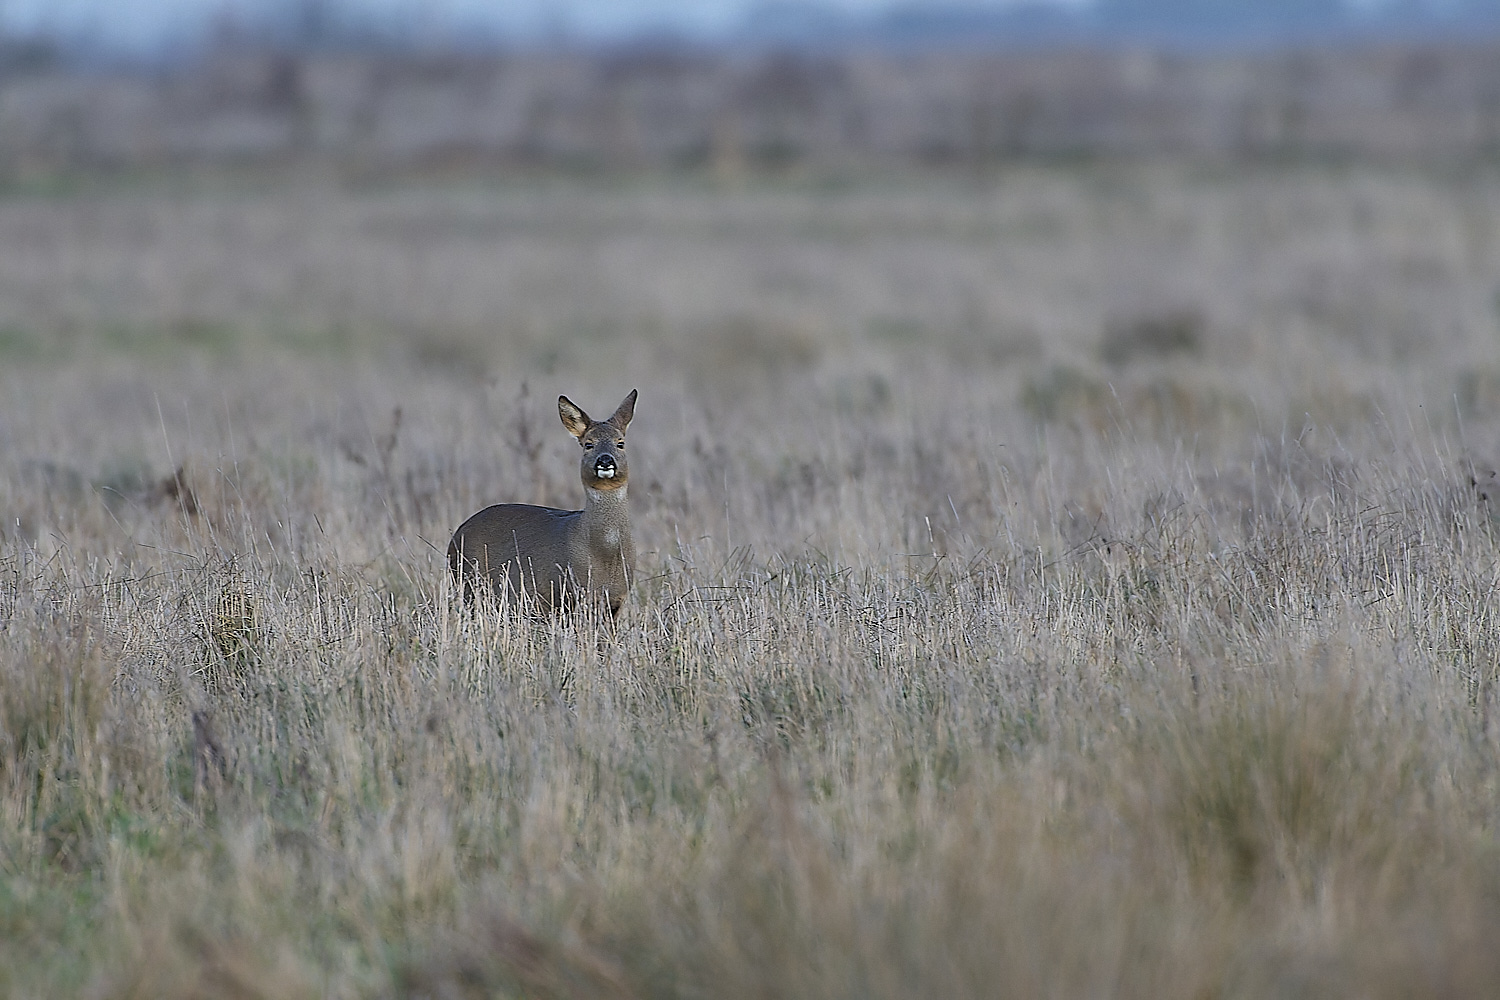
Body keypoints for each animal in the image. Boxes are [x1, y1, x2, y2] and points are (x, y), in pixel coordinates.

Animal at [444, 389, 633, 617]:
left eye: (620, 443)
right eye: (589, 444)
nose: (605, 460)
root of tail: (455, 537)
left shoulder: (616, 602)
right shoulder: (565, 592)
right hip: (469, 582)